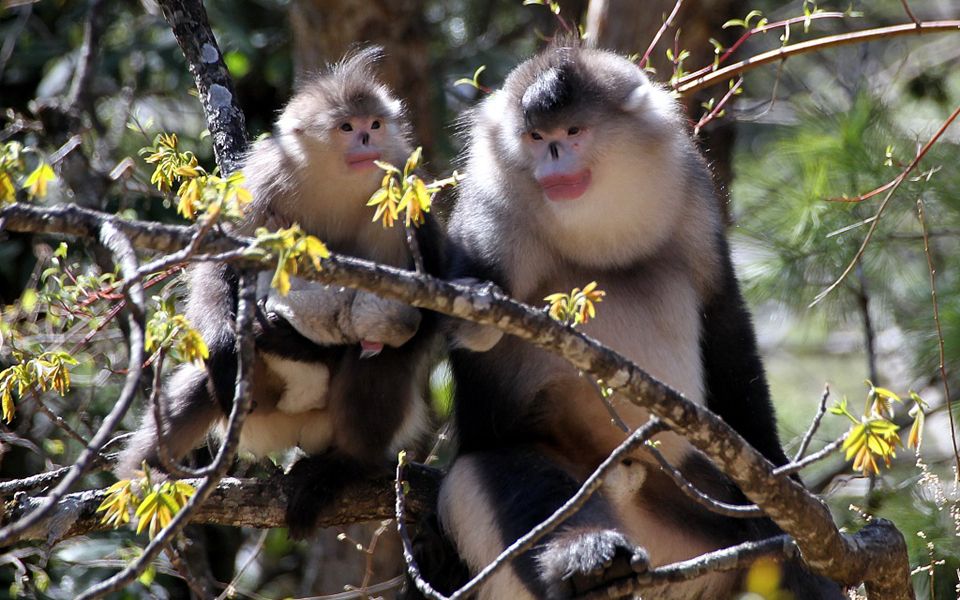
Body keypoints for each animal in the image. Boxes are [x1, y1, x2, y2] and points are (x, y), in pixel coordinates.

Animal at [117, 45, 442, 536]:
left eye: (375, 124)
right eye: (348, 127)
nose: (367, 142)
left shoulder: (407, 192)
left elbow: (436, 303)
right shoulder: (264, 180)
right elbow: (220, 264)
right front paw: (228, 342)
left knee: (380, 364)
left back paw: (342, 468)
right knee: (203, 381)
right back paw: (143, 474)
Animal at [428, 43, 840, 600]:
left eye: (572, 132)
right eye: (535, 137)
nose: (552, 156)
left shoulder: (691, 191)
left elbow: (724, 321)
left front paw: (780, 475)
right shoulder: (491, 211)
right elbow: (472, 328)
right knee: (512, 486)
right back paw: (587, 560)